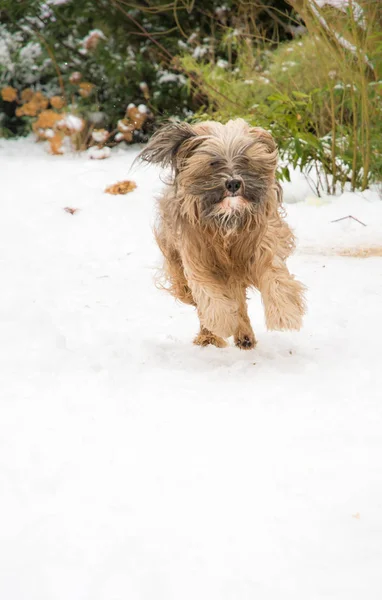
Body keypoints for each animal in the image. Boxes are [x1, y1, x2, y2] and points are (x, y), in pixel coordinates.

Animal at [139, 118, 306, 350]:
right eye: (213, 163)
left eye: (245, 159)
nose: (233, 183)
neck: (227, 221)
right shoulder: (197, 258)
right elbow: (209, 294)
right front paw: (222, 323)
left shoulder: (261, 245)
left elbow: (276, 277)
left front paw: (285, 315)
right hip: (178, 271)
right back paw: (211, 335)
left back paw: (244, 336)